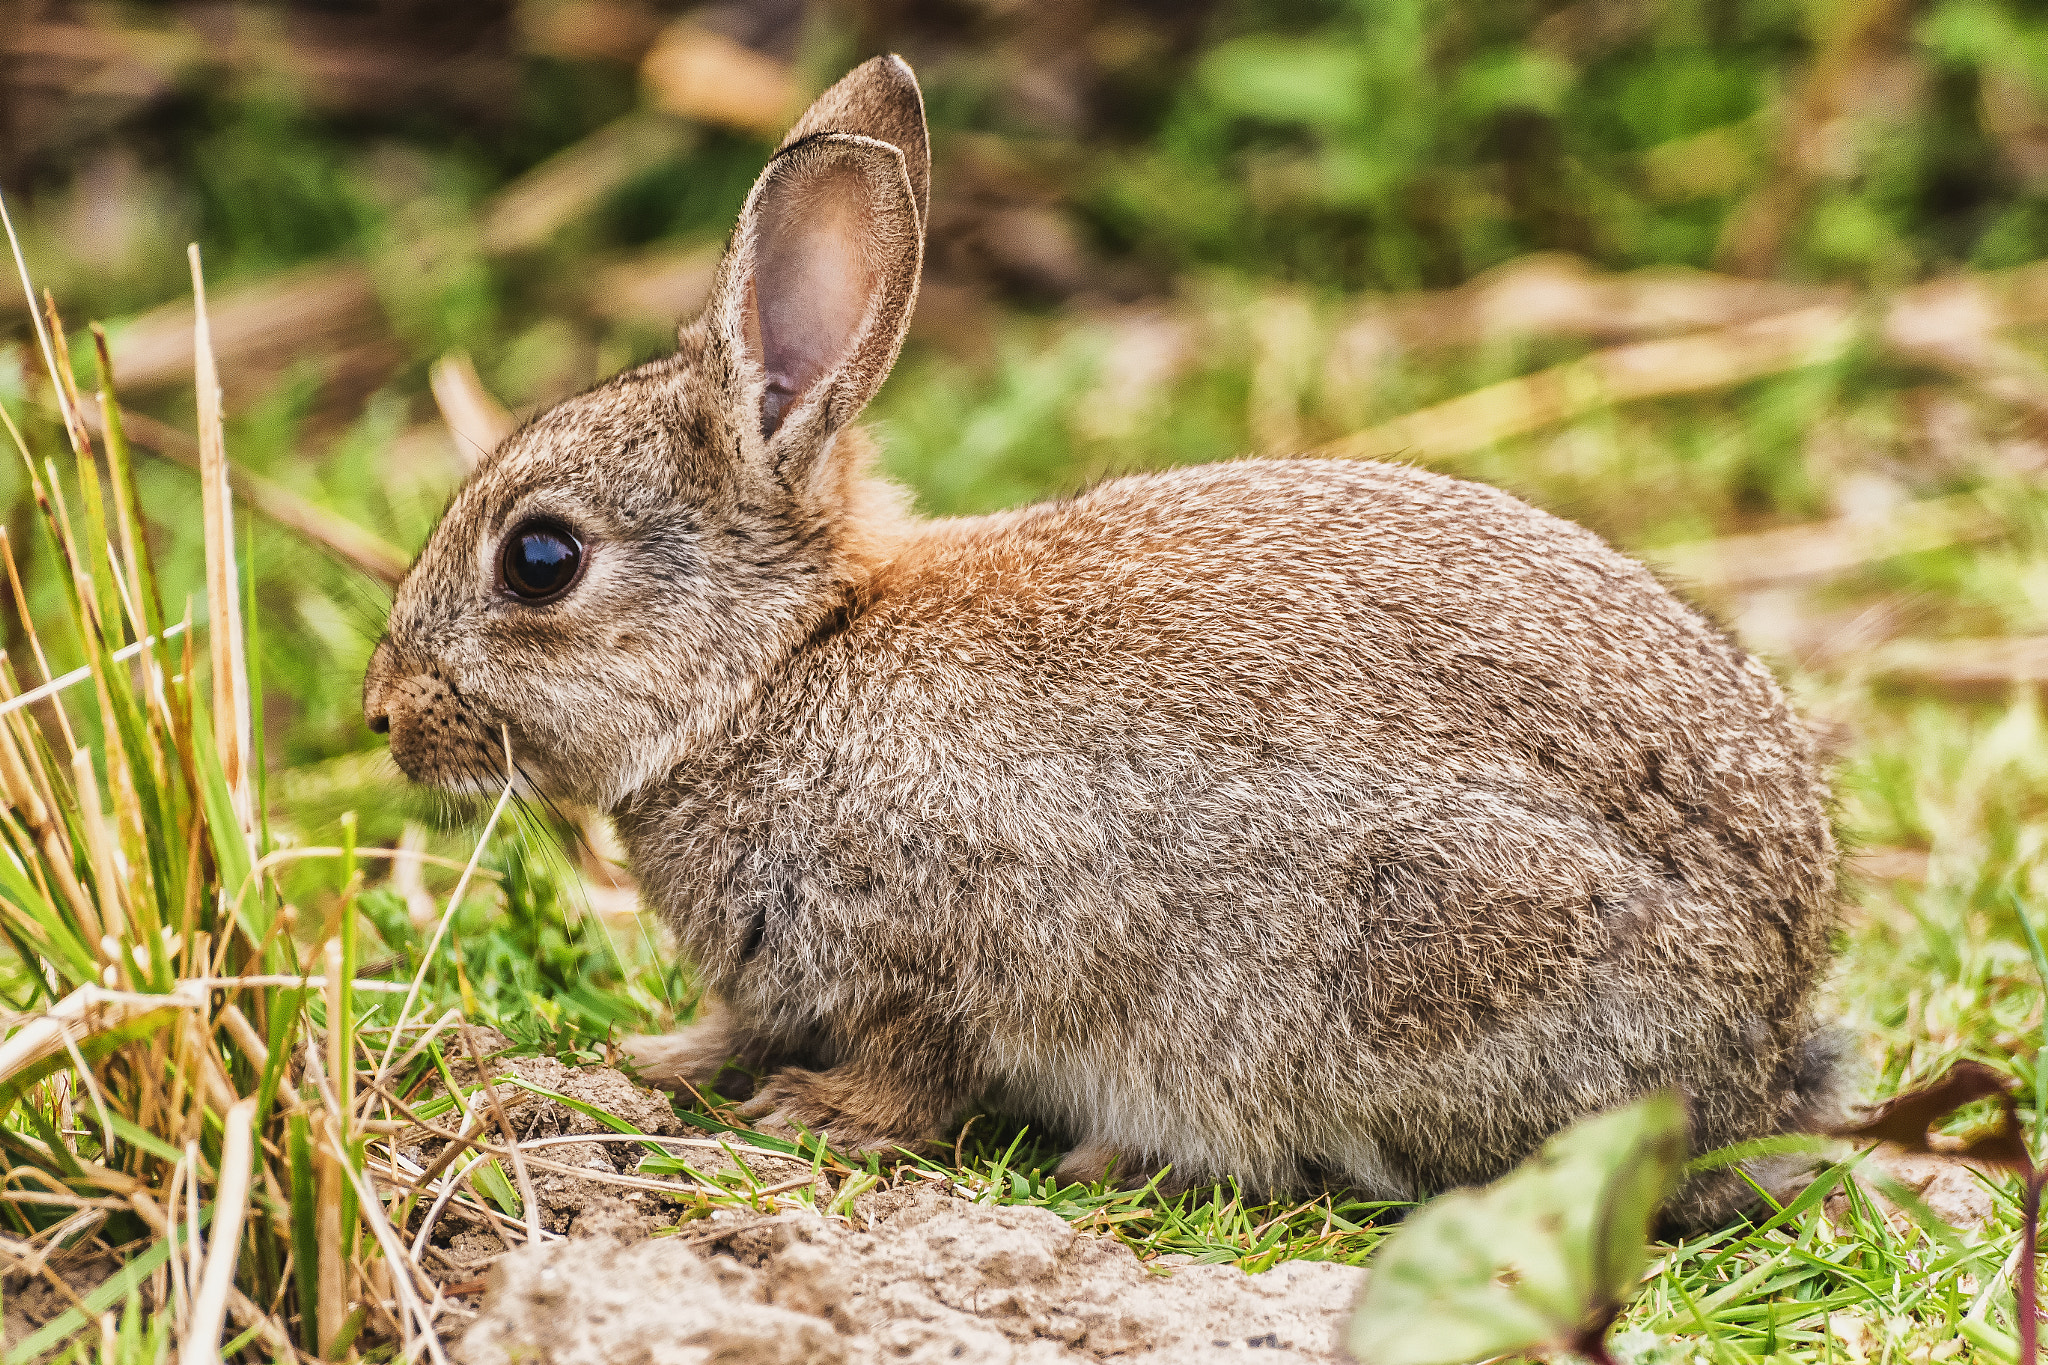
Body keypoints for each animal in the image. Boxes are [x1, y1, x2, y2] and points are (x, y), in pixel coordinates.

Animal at [364, 53, 1843, 1236]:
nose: (382, 715)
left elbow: (917, 1068)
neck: (775, 668)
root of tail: (1758, 1046)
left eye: (540, 560)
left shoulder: (936, 952)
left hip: (1408, 970)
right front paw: (660, 1059)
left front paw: (812, 1115)